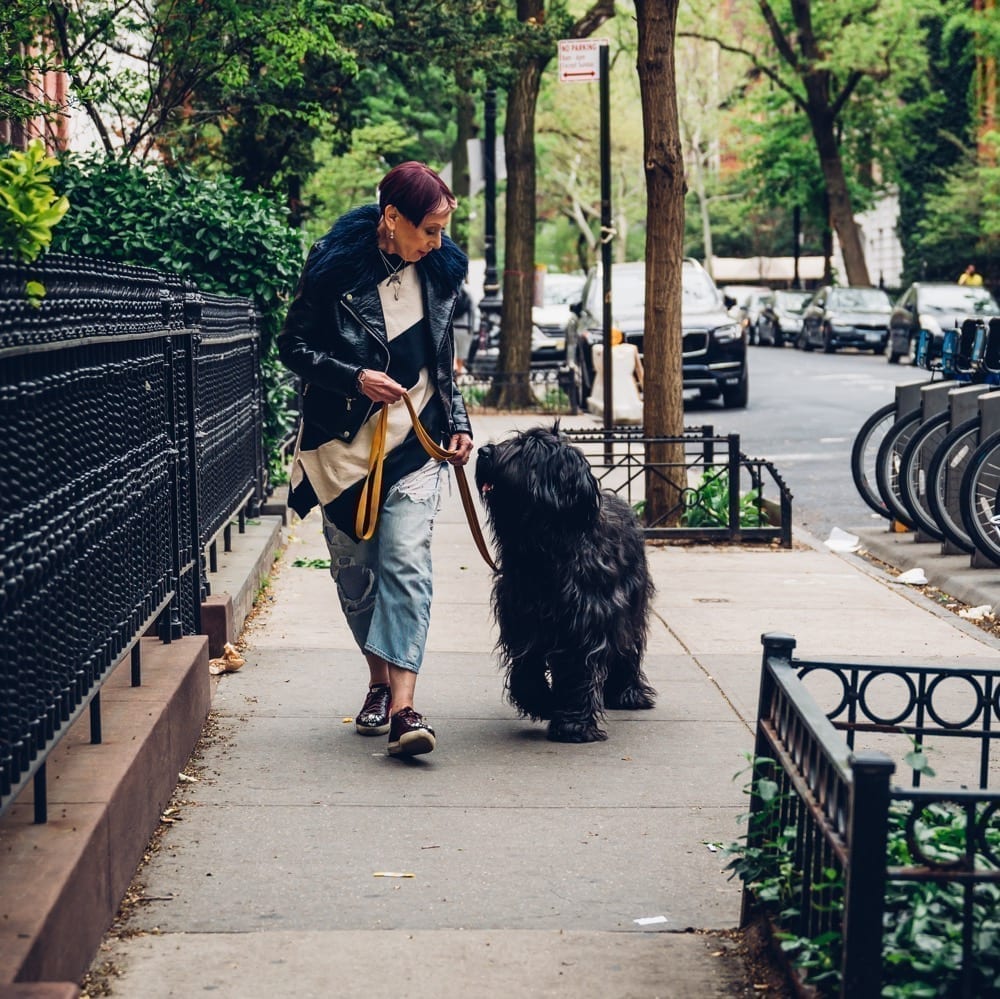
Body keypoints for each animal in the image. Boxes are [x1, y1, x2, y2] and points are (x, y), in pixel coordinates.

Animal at [474, 424, 656, 744]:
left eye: (527, 450)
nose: (483, 452)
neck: (543, 551)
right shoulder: (522, 618)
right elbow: (526, 667)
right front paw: (542, 702)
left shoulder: (584, 622)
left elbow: (576, 670)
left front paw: (573, 725)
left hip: (631, 605)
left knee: (627, 647)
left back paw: (628, 694)